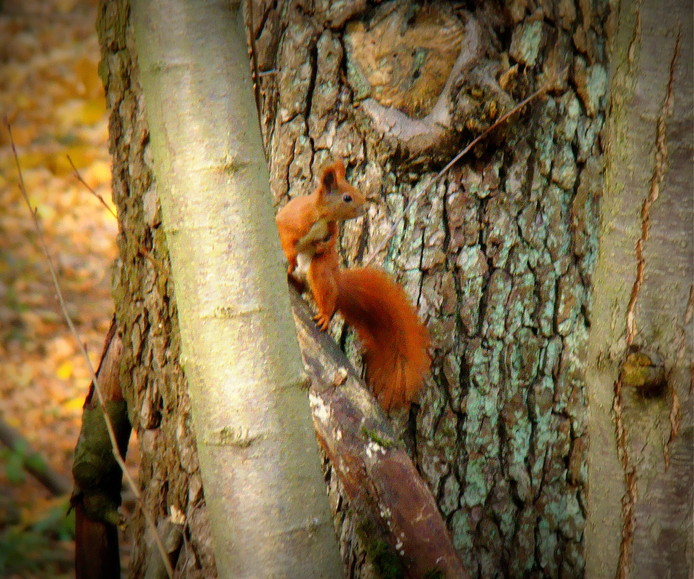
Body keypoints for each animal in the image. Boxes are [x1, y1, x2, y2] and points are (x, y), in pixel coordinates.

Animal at [276, 161, 430, 410]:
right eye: (347, 197)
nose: (364, 207)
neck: (321, 217)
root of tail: (338, 282)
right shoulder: (292, 222)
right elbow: (286, 239)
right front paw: (289, 257)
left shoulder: (330, 229)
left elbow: (330, 239)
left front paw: (324, 244)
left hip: (321, 272)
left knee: (326, 294)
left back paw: (324, 315)